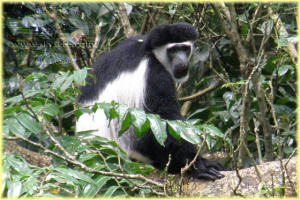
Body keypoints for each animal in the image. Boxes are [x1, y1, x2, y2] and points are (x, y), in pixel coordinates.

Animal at [77, 23, 225, 180]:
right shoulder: (154, 76)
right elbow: (164, 120)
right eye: (172, 50)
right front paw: (198, 166)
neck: (150, 52)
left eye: (185, 48)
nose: (182, 63)